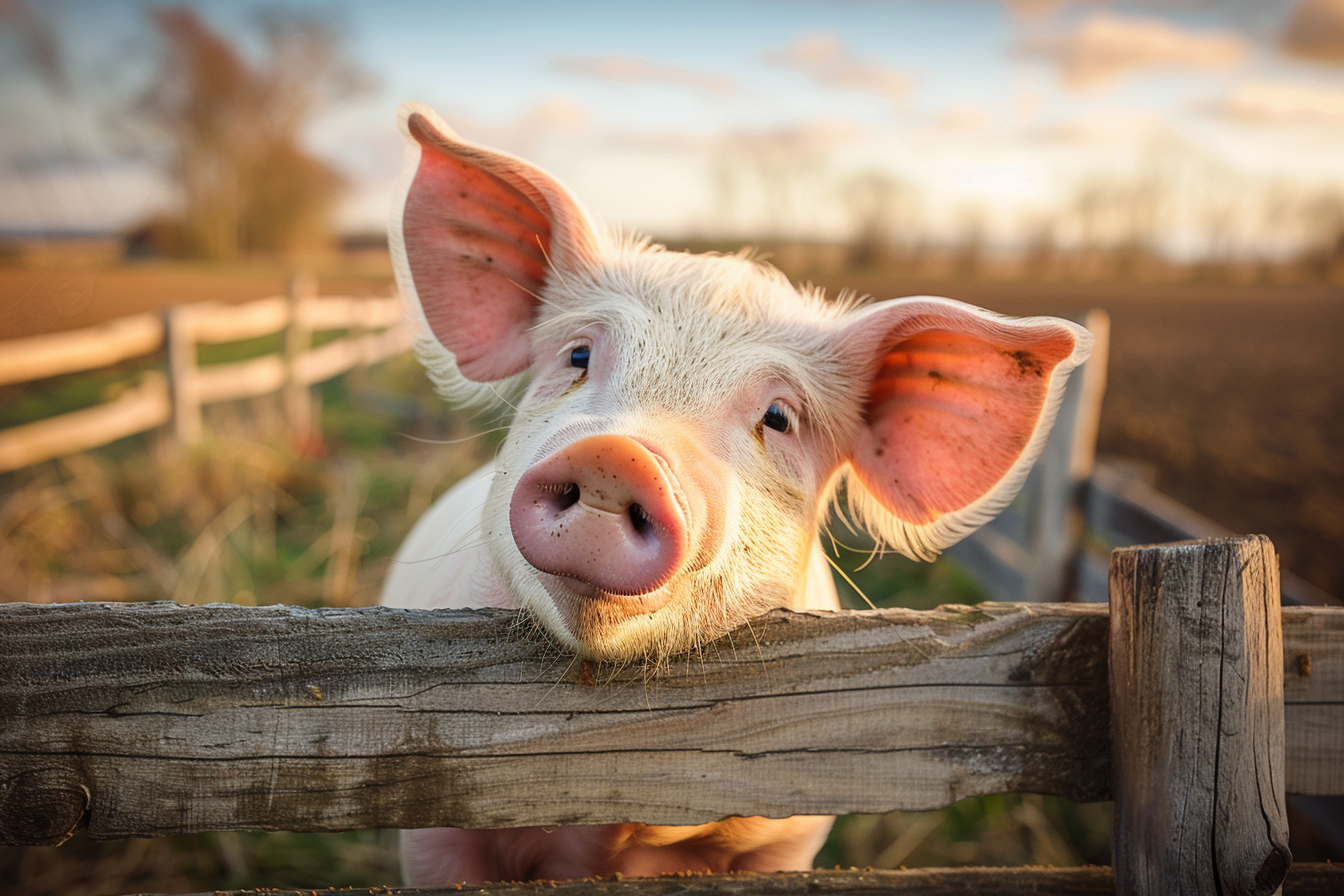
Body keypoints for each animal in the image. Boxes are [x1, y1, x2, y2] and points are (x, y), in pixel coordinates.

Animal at [380, 101, 1093, 886]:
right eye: (578, 355)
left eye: (778, 417)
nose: (617, 455)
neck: (608, 825)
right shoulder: (434, 829)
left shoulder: (789, 838)